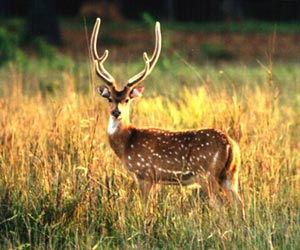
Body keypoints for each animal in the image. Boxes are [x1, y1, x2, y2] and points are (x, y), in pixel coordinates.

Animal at [90, 17, 245, 218]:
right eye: (109, 98)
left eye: (127, 99)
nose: (117, 112)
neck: (126, 144)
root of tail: (231, 145)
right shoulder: (156, 179)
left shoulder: (145, 173)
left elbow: (146, 211)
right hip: (231, 174)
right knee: (240, 205)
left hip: (207, 174)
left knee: (220, 207)